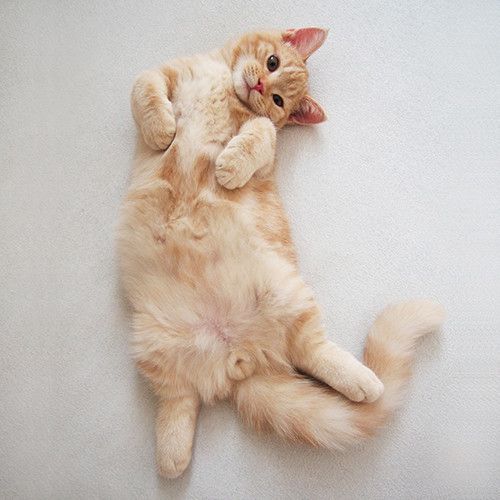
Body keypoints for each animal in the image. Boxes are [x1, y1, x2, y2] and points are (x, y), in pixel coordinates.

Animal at [117, 28, 444, 478]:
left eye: (277, 101)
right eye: (271, 64)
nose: (257, 86)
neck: (225, 84)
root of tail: (239, 355)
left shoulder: (266, 149)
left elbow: (261, 133)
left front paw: (230, 166)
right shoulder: (164, 73)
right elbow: (144, 89)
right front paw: (160, 129)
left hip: (287, 296)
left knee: (312, 351)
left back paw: (365, 382)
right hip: (155, 344)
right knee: (178, 401)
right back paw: (172, 458)